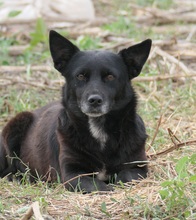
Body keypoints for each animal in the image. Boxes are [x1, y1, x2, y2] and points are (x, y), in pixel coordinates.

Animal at [0, 31, 152, 192]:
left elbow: (126, 176)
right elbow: (97, 185)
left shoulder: (138, 168)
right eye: (80, 76)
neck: (98, 128)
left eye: (110, 76)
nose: (94, 100)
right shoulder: (72, 174)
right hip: (16, 125)